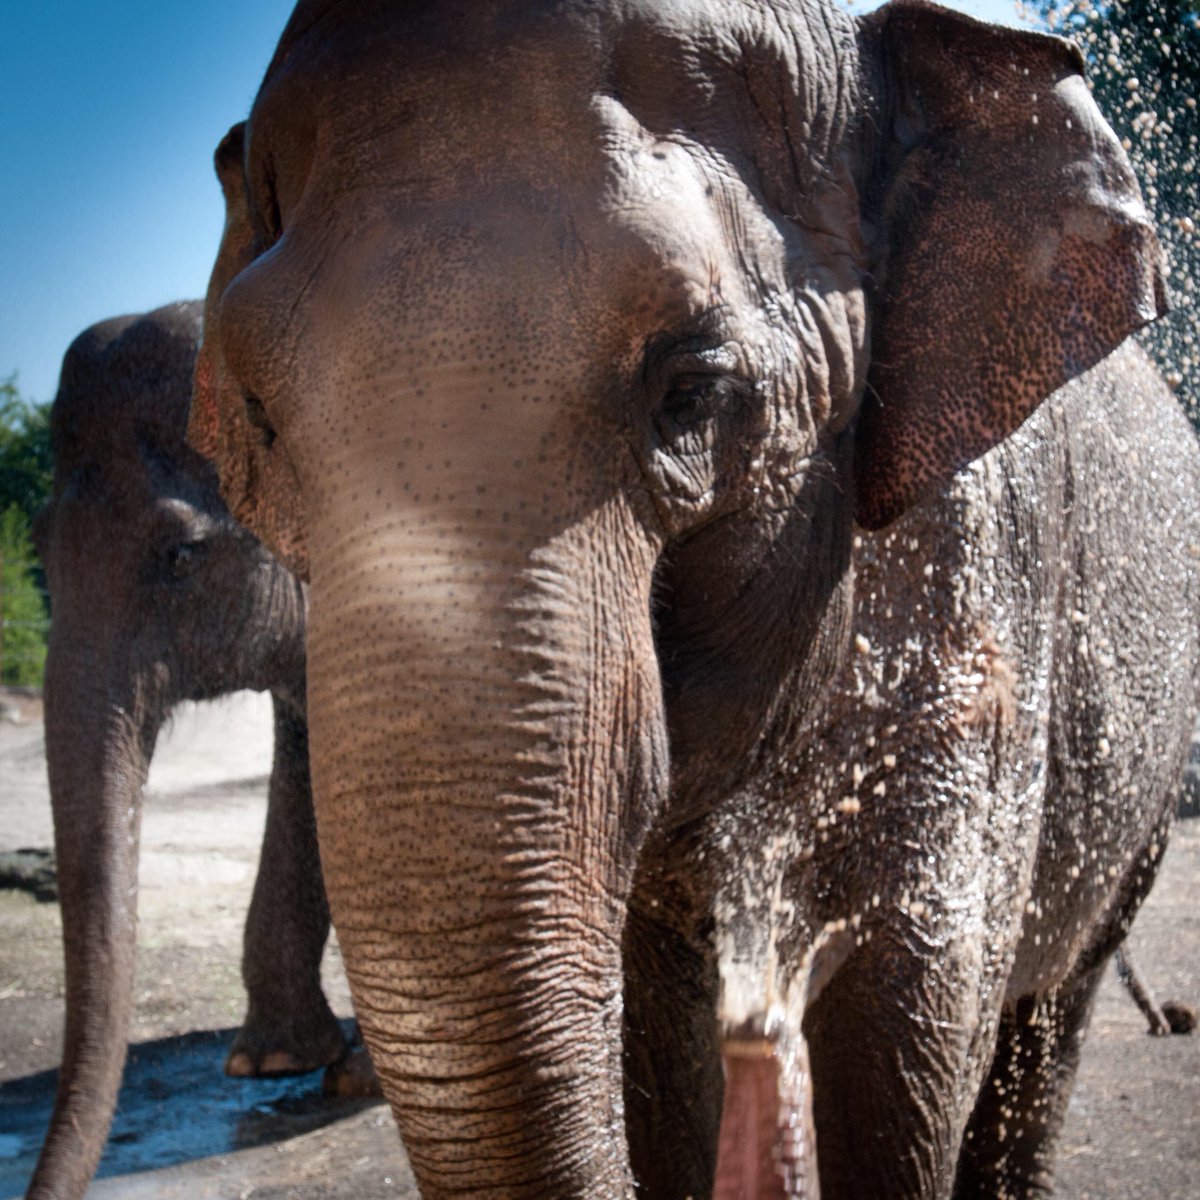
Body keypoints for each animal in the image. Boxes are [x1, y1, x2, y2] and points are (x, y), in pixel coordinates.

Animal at [189, 0, 1199, 1196]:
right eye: (261, 420)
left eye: (695, 391)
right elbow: (656, 1055)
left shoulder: (983, 606)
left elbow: (908, 1036)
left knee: (1048, 1019)